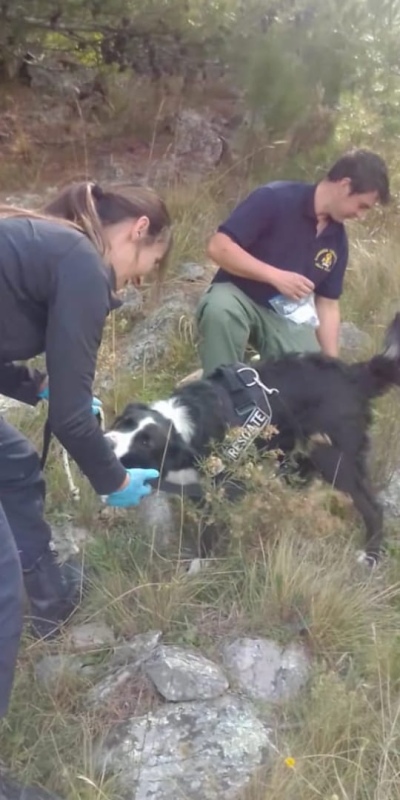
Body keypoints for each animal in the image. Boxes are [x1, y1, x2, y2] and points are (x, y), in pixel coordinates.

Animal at [105, 310, 400, 564]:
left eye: (145, 442)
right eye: (125, 422)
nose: (107, 442)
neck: (180, 426)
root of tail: (354, 375)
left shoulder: (220, 489)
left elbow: (208, 533)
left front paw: (199, 567)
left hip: (333, 457)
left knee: (372, 507)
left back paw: (371, 555)